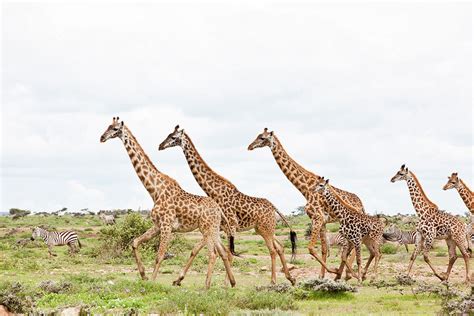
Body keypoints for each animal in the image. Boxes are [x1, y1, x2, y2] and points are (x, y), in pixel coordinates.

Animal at [99, 116, 236, 288]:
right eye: (107, 126)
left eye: (115, 129)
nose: (102, 137)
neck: (155, 190)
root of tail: (219, 210)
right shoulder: (157, 225)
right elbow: (135, 242)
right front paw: (143, 275)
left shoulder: (166, 225)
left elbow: (160, 254)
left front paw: (152, 281)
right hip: (213, 229)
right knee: (223, 252)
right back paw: (231, 282)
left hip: (206, 229)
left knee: (213, 253)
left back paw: (206, 286)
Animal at [158, 126, 296, 286]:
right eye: (168, 135)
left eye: (173, 137)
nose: (160, 146)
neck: (215, 192)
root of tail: (274, 207)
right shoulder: (218, 227)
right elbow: (198, 249)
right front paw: (178, 279)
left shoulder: (231, 225)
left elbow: (228, 253)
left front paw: (227, 283)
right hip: (264, 229)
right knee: (279, 247)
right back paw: (290, 278)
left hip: (265, 229)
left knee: (272, 250)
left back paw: (273, 280)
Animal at [246, 128, 364, 276]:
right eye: (257, 135)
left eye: (262, 138)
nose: (249, 146)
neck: (305, 189)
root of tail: (361, 204)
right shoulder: (322, 221)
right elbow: (323, 249)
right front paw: (322, 276)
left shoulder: (317, 218)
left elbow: (311, 248)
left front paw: (331, 271)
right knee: (351, 246)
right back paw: (344, 274)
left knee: (353, 245)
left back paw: (348, 274)